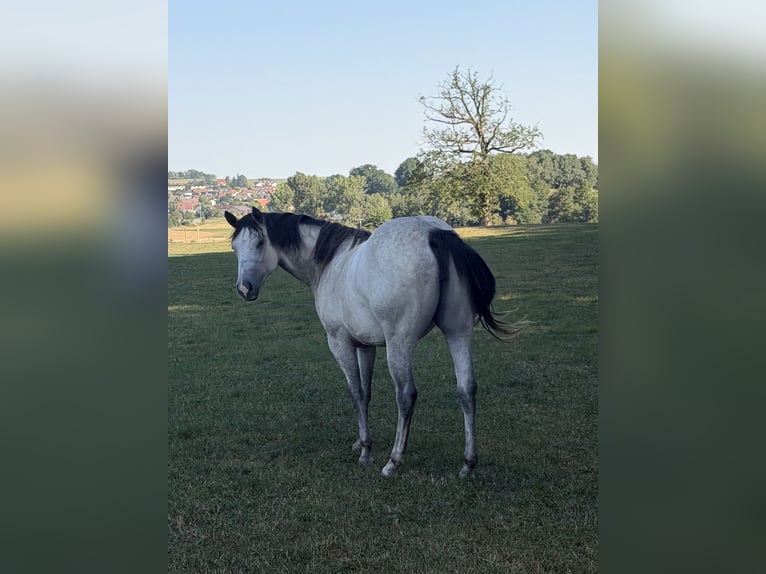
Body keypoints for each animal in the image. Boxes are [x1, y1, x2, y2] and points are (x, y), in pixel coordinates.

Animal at [225, 207, 519, 478]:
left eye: (260, 243)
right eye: (235, 247)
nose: (244, 288)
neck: (332, 263)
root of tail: (435, 234)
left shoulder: (340, 343)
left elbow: (355, 392)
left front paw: (366, 450)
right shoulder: (366, 347)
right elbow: (366, 393)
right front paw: (360, 442)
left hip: (400, 344)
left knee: (406, 395)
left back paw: (394, 461)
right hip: (458, 332)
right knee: (466, 390)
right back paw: (468, 464)